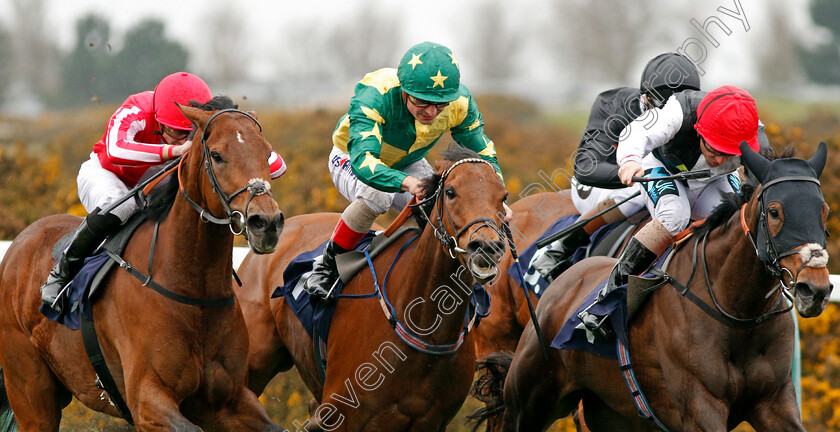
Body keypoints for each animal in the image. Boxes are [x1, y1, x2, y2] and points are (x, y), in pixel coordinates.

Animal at [0, 98, 288, 432]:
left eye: (267, 153)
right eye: (217, 155)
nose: (266, 223)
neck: (193, 288)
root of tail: (18, 243)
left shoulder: (229, 402)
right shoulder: (147, 400)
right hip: (31, 394)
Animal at [240, 146, 508, 432]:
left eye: (503, 196)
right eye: (450, 192)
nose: (486, 247)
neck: (422, 326)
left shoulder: (432, 422)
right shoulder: (342, 416)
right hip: (253, 365)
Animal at [472, 143, 832, 432]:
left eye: (824, 210)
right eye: (774, 212)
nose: (814, 289)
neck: (738, 314)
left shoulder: (774, 401)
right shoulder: (700, 405)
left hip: (610, 412)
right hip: (527, 395)